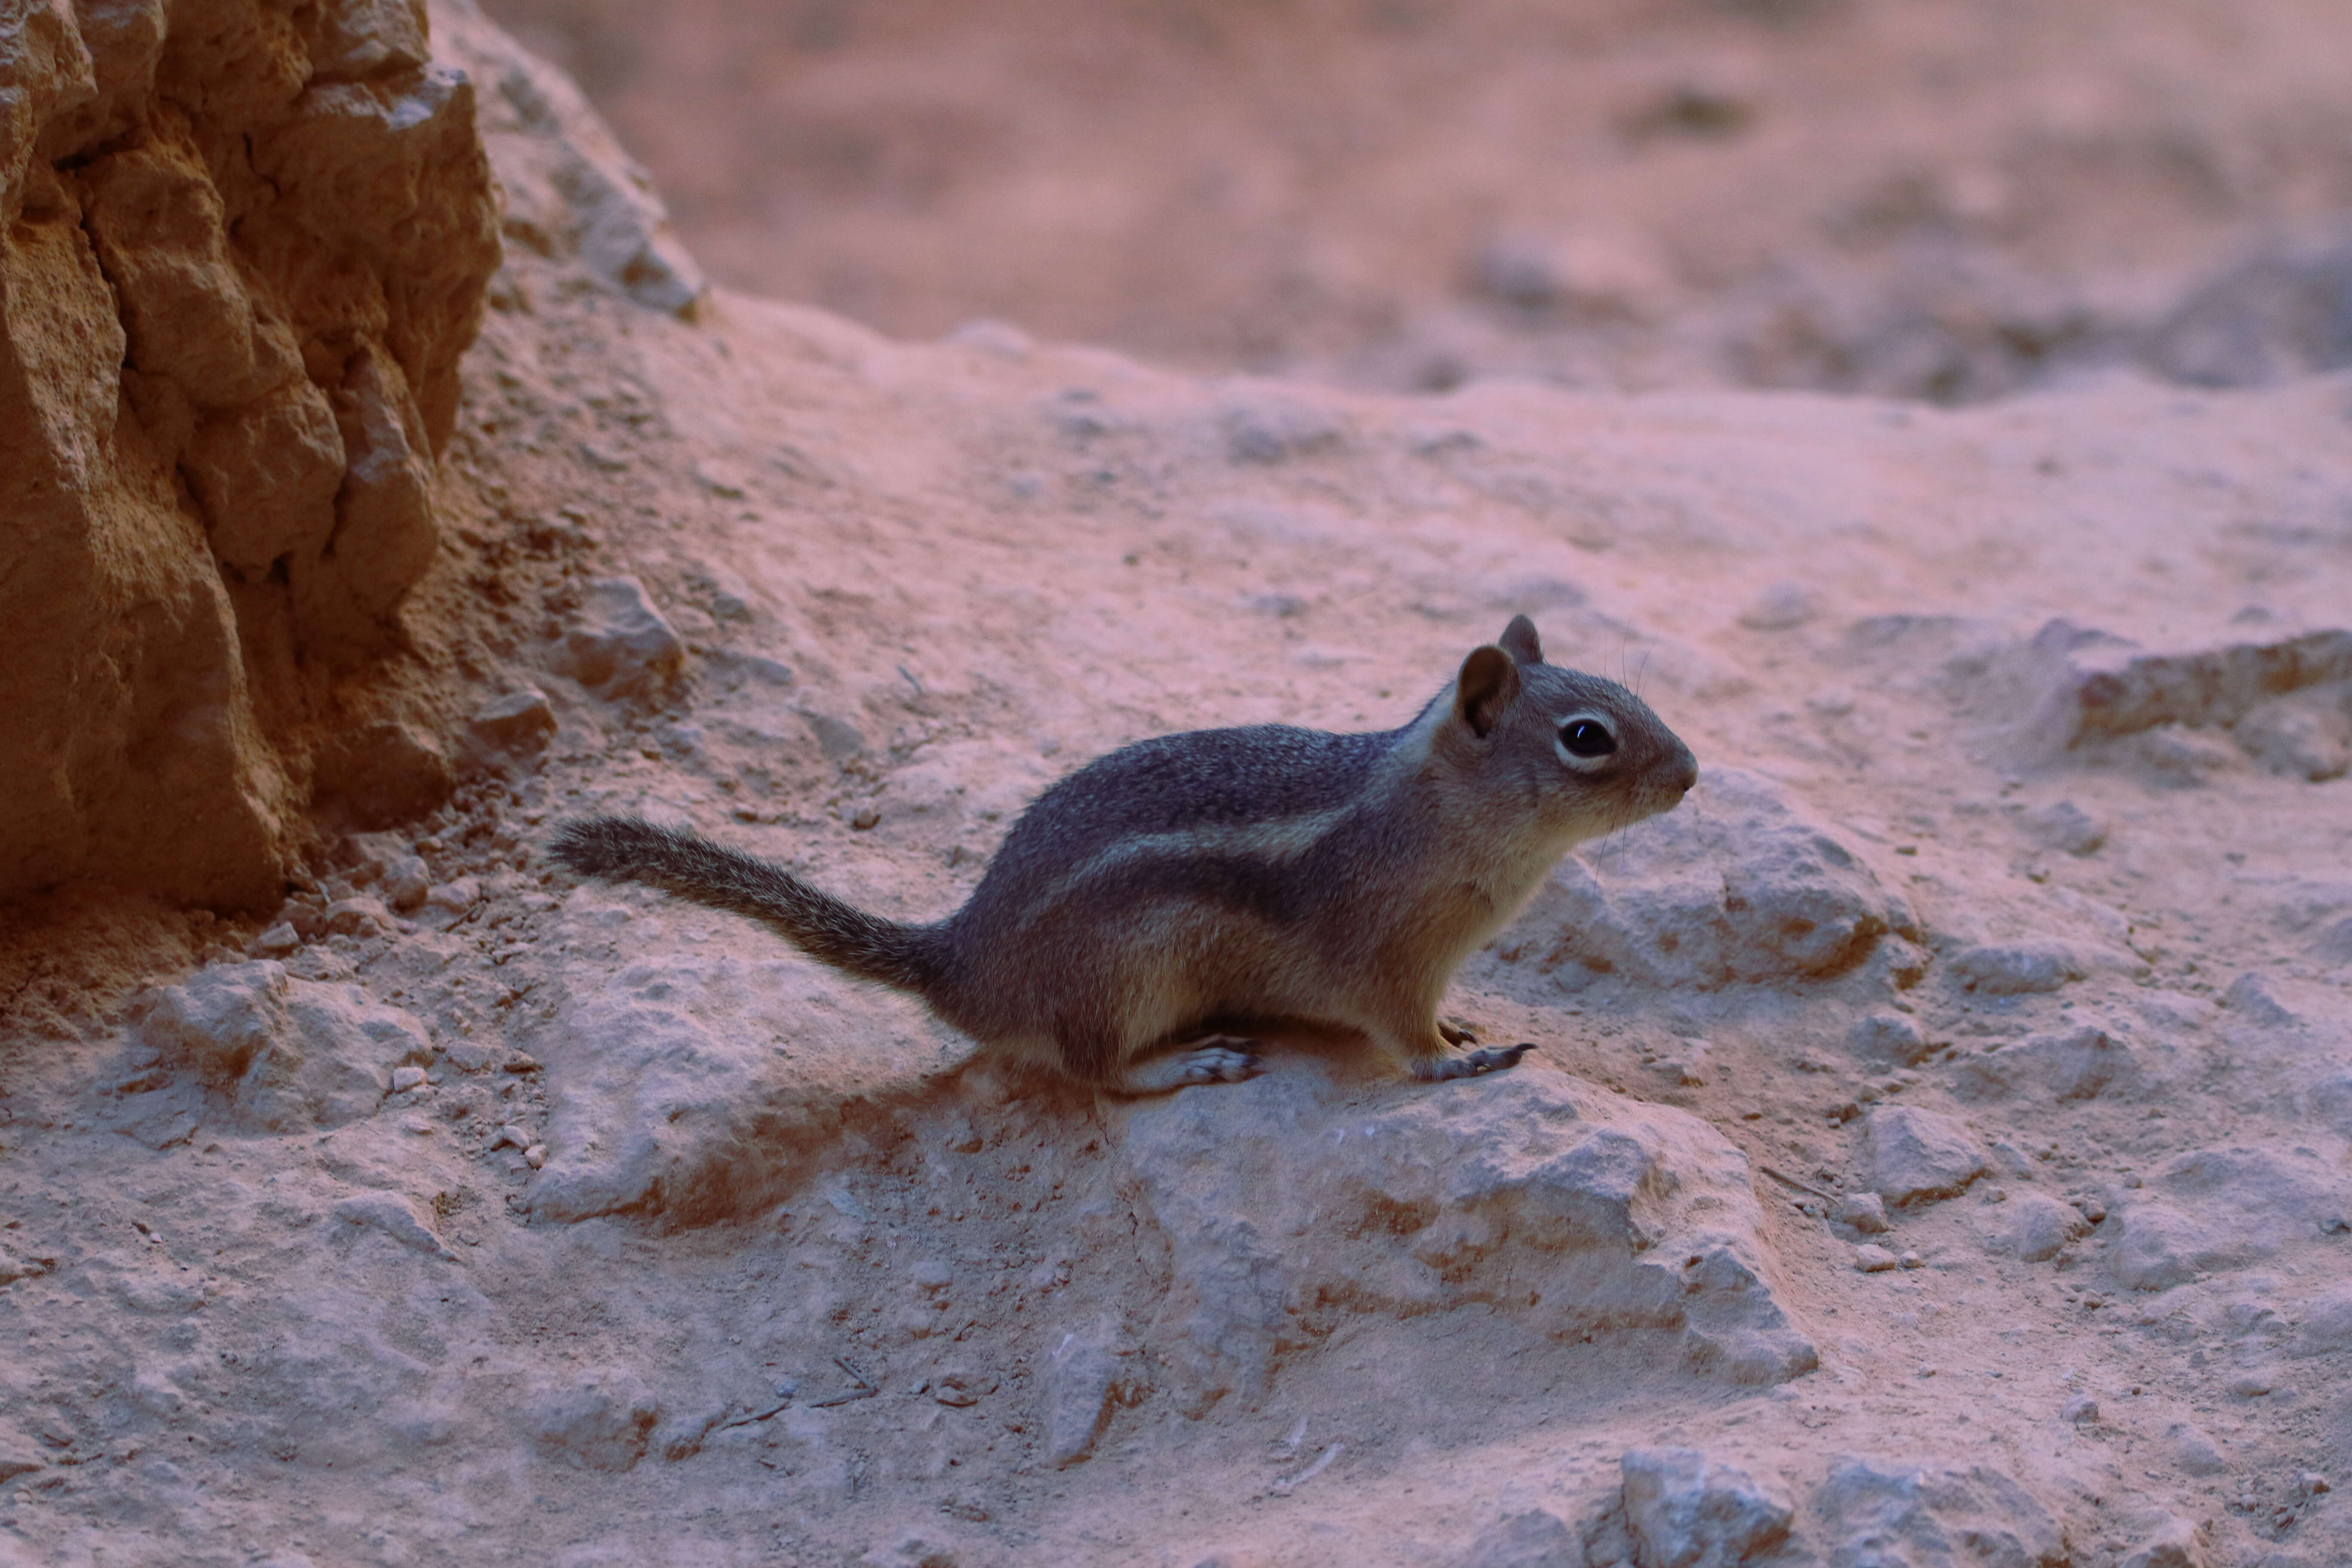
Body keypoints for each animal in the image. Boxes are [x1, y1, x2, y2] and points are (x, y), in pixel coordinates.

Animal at [550, 611, 1693, 1090]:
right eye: (1587, 738)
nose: (1691, 774)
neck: (1433, 813)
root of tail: (962, 964)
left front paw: (1466, 1027)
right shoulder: (1383, 960)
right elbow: (1401, 1040)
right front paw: (1459, 1060)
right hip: (1129, 975)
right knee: (1096, 1077)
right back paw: (1190, 1064)